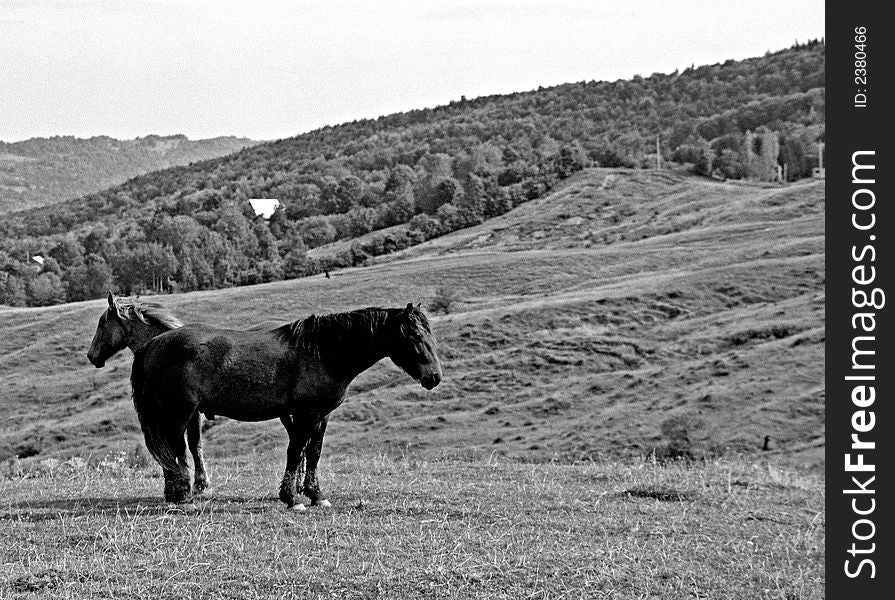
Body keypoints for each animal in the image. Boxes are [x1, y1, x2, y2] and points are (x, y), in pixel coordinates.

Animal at [130, 304, 444, 506]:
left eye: (430, 334)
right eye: (416, 336)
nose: (435, 377)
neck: (323, 353)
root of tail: (153, 344)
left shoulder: (321, 416)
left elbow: (313, 453)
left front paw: (315, 495)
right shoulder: (306, 414)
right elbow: (296, 452)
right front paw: (292, 497)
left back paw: (174, 493)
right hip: (179, 412)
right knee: (176, 448)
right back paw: (182, 494)